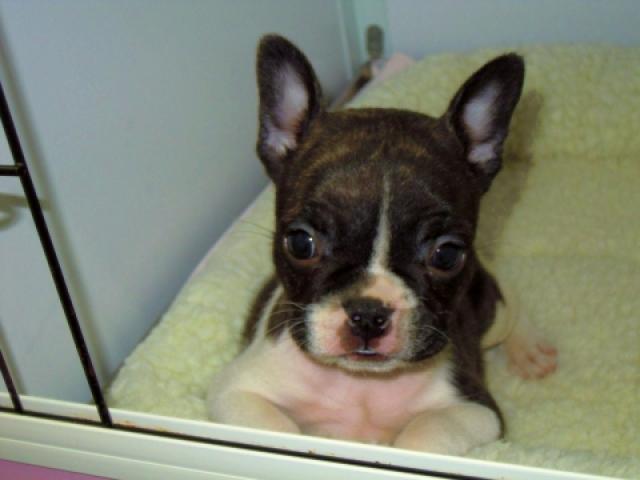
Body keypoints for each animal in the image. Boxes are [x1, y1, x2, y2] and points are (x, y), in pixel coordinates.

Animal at [208, 35, 557, 455]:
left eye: (447, 254)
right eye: (301, 243)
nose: (368, 313)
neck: (363, 382)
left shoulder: (476, 409)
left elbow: (424, 434)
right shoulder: (236, 392)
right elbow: (275, 434)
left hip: (488, 307)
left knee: (510, 304)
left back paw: (530, 349)